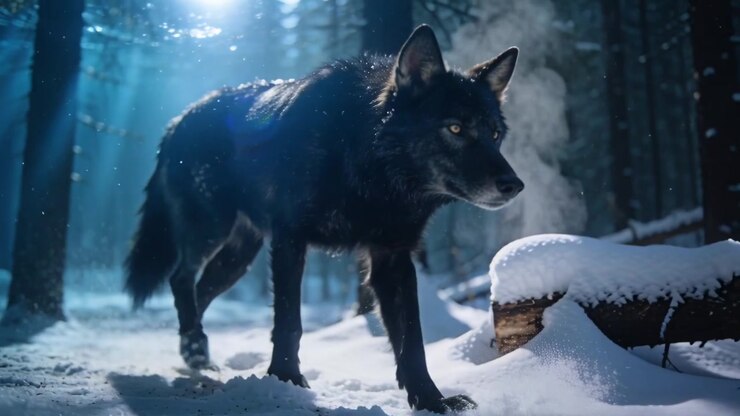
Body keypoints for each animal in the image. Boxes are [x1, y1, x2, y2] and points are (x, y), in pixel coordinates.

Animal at [125, 25, 522, 413]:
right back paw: (195, 348)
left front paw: (432, 400)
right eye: (455, 129)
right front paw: (285, 379)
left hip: (238, 258)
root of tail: (178, 119)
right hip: (210, 230)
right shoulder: (290, 240)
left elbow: (413, 337)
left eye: (495, 134)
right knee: (181, 278)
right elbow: (289, 322)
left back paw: (196, 352)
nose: (514, 185)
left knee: (200, 289)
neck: (367, 167)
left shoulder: (392, 256)